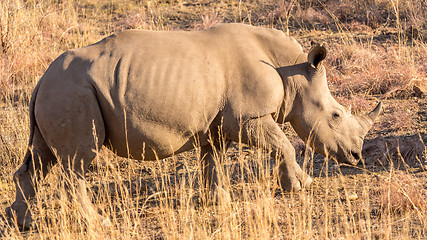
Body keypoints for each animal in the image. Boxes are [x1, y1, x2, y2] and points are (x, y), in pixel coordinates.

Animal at [5, 23, 382, 229]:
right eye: (336, 116)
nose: (357, 157)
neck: (293, 72)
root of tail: (40, 80)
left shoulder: (218, 123)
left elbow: (212, 158)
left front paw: (219, 202)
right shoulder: (249, 117)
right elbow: (284, 145)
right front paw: (301, 186)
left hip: (61, 91)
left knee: (41, 158)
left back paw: (23, 223)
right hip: (72, 91)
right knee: (76, 164)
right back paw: (99, 223)